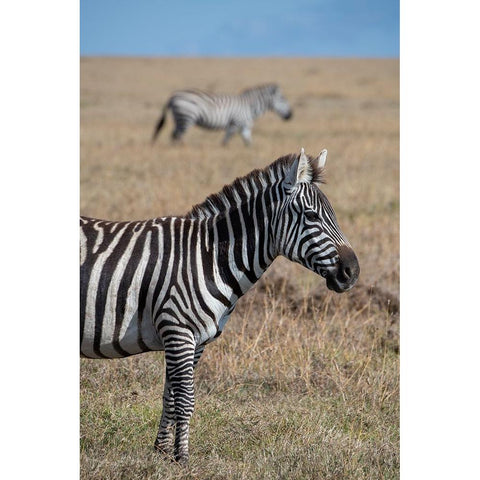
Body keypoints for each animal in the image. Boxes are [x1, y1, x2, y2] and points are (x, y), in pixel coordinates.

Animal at [80, 148, 358, 464]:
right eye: (311, 216)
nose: (352, 272)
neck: (209, 256)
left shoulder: (194, 340)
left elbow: (170, 396)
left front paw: (162, 452)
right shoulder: (178, 330)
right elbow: (185, 398)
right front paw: (182, 458)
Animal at [150, 83, 292, 145]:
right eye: (283, 99)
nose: (291, 115)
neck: (250, 107)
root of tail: (172, 97)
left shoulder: (244, 127)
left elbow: (248, 142)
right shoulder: (236, 123)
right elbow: (226, 140)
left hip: (179, 118)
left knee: (174, 134)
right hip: (186, 117)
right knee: (177, 135)